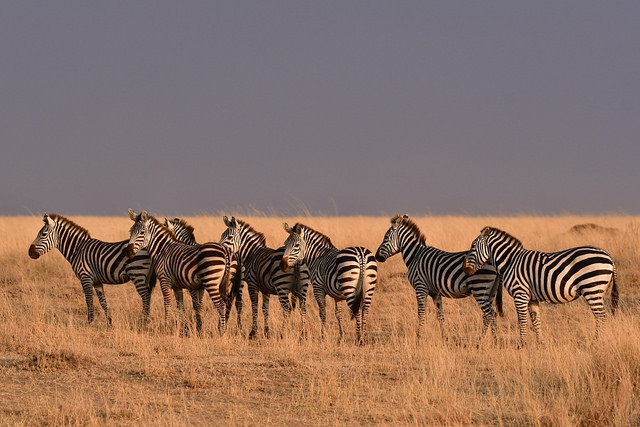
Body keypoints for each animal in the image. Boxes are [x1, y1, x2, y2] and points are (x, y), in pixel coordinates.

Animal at [28, 212, 156, 326]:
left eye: (43, 234)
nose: (30, 253)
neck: (78, 249)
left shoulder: (85, 277)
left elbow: (89, 300)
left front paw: (90, 322)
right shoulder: (97, 281)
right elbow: (103, 301)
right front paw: (110, 322)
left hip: (137, 273)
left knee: (145, 296)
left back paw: (144, 321)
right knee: (148, 295)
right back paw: (146, 320)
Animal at [372, 217, 502, 342]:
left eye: (385, 237)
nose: (377, 256)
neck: (415, 256)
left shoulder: (420, 287)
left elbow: (421, 314)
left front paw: (419, 338)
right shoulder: (436, 293)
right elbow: (440, 316)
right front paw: (445, 338)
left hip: (480, 287)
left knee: (490, 314)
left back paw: (488, 341)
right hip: (490, 291)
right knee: (488, 315)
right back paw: (487, 341)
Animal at [462, 227, 616, 348]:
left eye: (473, 246)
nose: (465, 270)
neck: (510, 262)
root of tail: (608, 256)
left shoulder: (520, 294)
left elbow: (522, 320)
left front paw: (522, 345)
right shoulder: (532, 298)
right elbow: (536, 320)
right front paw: (541, 343)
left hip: (592, 288)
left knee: (601, 316)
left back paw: (596, 342)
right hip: (598, 290)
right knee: (601, 315)